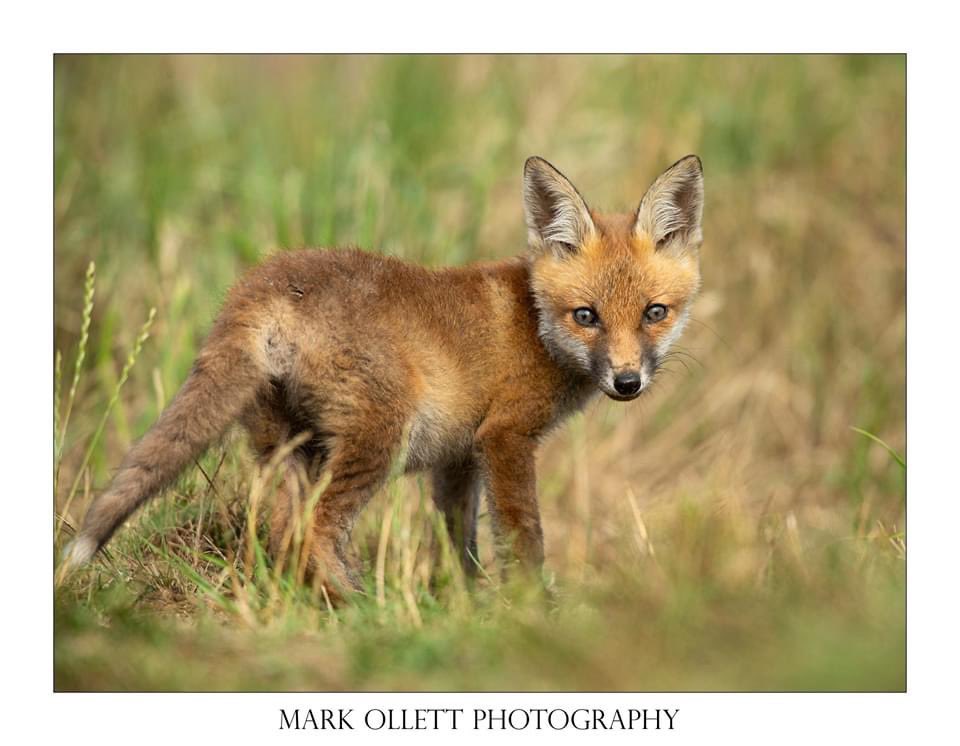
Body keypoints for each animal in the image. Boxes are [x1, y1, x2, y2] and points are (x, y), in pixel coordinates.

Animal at [60, 154, 704, 599]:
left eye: (654, 313)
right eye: (586, 316)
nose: (627, 382)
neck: (535, 325)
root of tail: (261, 283)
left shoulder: (458, 458)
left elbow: (460, 545)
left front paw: (466, 608)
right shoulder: (505, 438)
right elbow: (524, 540)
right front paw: (530, 611)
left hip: (286, 445)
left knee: (282, 529)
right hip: (379, 436)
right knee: (314, 529)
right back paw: (355, 608)